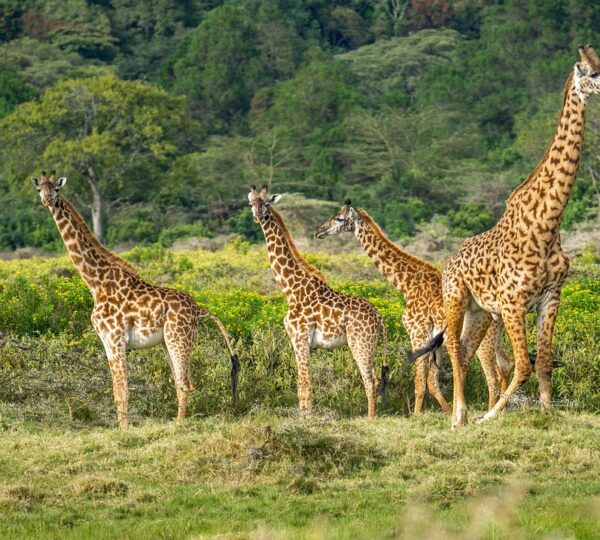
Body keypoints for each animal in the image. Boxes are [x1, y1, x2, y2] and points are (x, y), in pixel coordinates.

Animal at [31, 172, 239, 430]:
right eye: (39, 189)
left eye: (56, 189)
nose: (47, 200)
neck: (96, 283)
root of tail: (199, 309)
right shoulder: (107, 343)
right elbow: (117, 392)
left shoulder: (115, 339)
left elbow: (122, 392)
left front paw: (126, 431)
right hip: (168, 342)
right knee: (180, 383)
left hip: (178, 338)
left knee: (185, 384)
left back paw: (178, 426)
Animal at [247, 186, 384, 418]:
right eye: (251, 204)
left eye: (266, 203)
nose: (258, 217)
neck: (290, 289)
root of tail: (379, 318)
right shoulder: (298, 342)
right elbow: (302, 382)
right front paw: (304, 415)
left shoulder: (300, 337)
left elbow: (304, 382)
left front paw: (307, 418)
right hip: (369, 344)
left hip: (360, 342)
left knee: (371, 380)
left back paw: (371, 417)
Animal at [314, 202, 510, 414]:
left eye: (339, 218)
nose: (319, 231)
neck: (407, 284)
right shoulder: (434, 340)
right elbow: (432, 382)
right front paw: (448, 413)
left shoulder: (417, 333)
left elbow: (420, 383)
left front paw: (417, 415)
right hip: (497, 338)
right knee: (506, 367)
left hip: (484, 340)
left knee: (493, 378)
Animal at [436, 45, 600, 426]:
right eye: (590, 72)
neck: (547, 226)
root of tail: (449, 261)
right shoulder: (513, 303)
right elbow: (522, 365)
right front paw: (491, 415)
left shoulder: (551, 296)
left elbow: (543, 362)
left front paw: (547, 412)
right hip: (455, 298)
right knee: (452, 347)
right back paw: (459, 416)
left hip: (481, 312)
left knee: (465, 351)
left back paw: (462, 415)